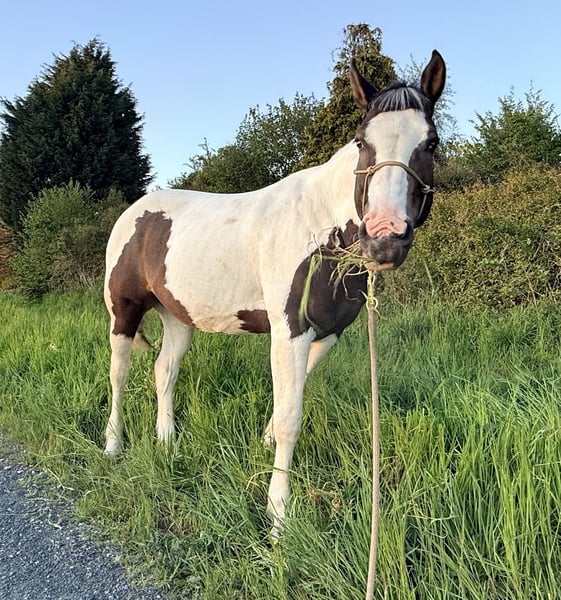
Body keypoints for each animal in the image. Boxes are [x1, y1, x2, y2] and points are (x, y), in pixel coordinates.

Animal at [103, 50, 446, 537]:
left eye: (430, 143)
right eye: (362, 142)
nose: (385, 238)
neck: (323, 228)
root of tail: (136, 211)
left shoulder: (327, 331)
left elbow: (289, 399)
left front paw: (264, 446)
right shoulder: (290, 330)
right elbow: (290, 418)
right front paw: (279, 514)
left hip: (179, 317)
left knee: (164, 371)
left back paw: (167, 442)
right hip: (124, 309)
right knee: (119, 373)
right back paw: (113, 445)